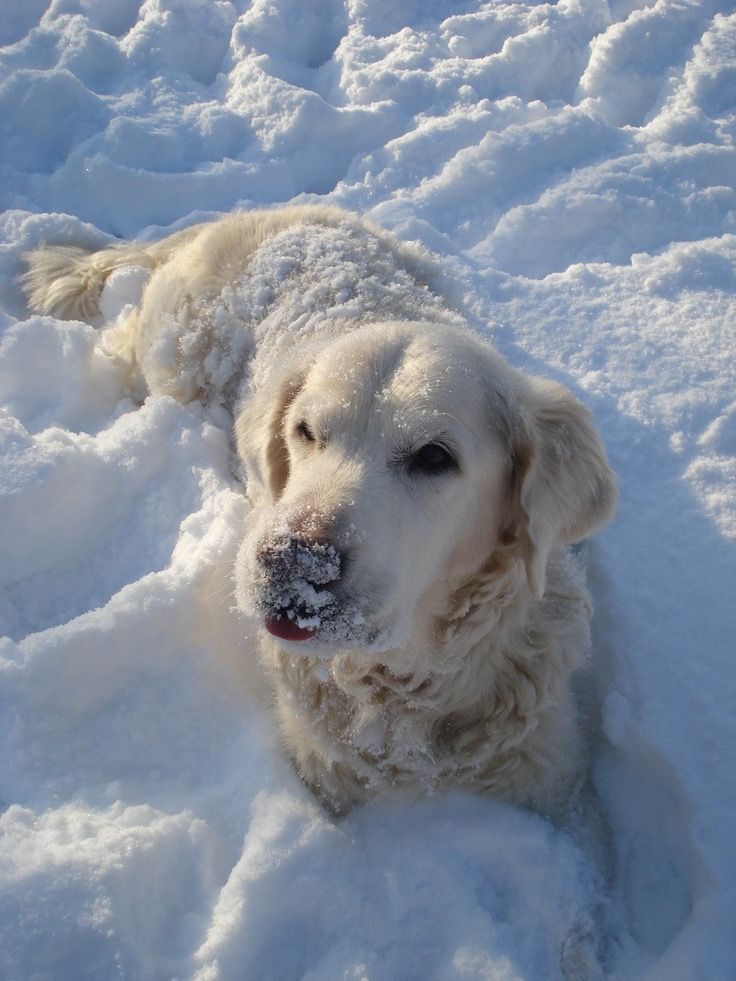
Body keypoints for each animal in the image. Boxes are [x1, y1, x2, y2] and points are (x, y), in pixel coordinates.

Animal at [21, 207, 616, 820]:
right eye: (305, 431)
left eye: (435, 457)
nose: (292, 564)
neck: (407, 688)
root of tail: (242, 216)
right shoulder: (323, 771)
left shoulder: (551, 774)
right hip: (171, 357)